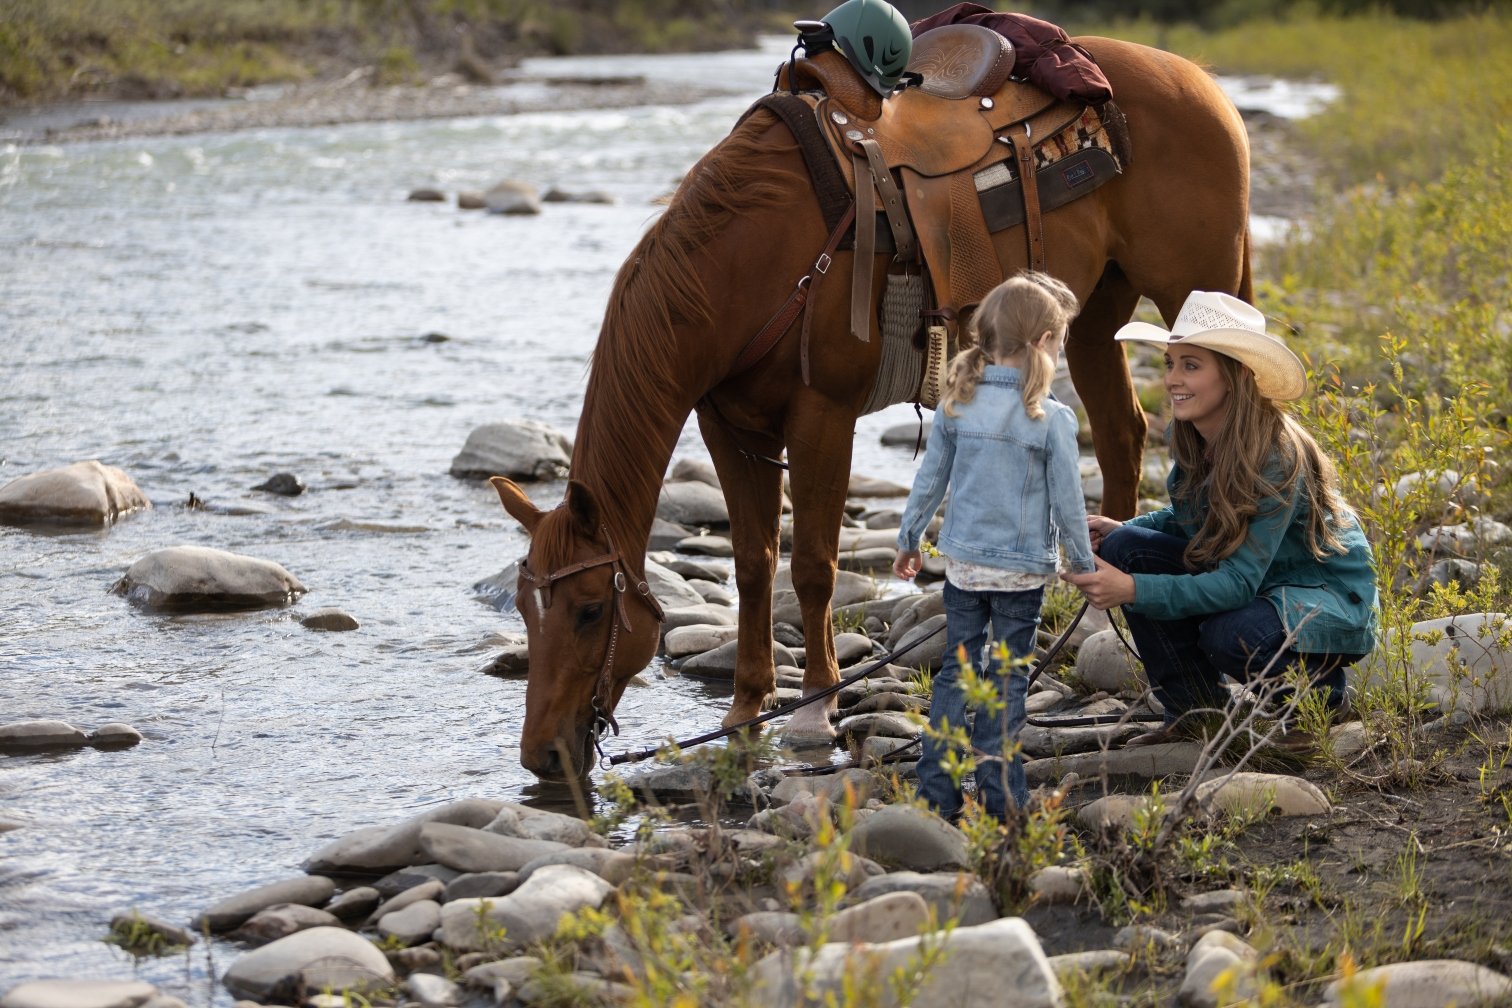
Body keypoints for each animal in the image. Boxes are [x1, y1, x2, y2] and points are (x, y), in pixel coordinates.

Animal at [492, 37, 1251, 779]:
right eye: (527, 609)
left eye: (591, 611)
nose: (541, 755)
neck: (748, 260)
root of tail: (1200, 83)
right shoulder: (728, 428)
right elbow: (753, 564)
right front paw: (745, 708)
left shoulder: (822, 416)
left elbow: (813, 565)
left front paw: (812, 710)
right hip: (1094, 317)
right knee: (1122, 433)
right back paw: (1096, 616)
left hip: (1195, 290)